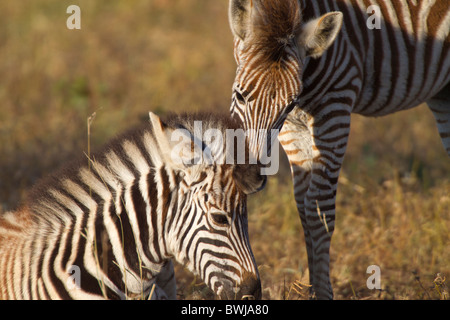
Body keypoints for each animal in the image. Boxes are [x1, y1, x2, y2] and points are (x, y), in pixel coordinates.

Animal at [229, 0, 450, 300]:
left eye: (289, 103)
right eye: (240, 95)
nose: (250, 178)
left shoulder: (335, 107)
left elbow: (319, 207)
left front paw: (322, 292)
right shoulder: (292, 127)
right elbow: (302, 204)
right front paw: (309, 289)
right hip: (445, 94)